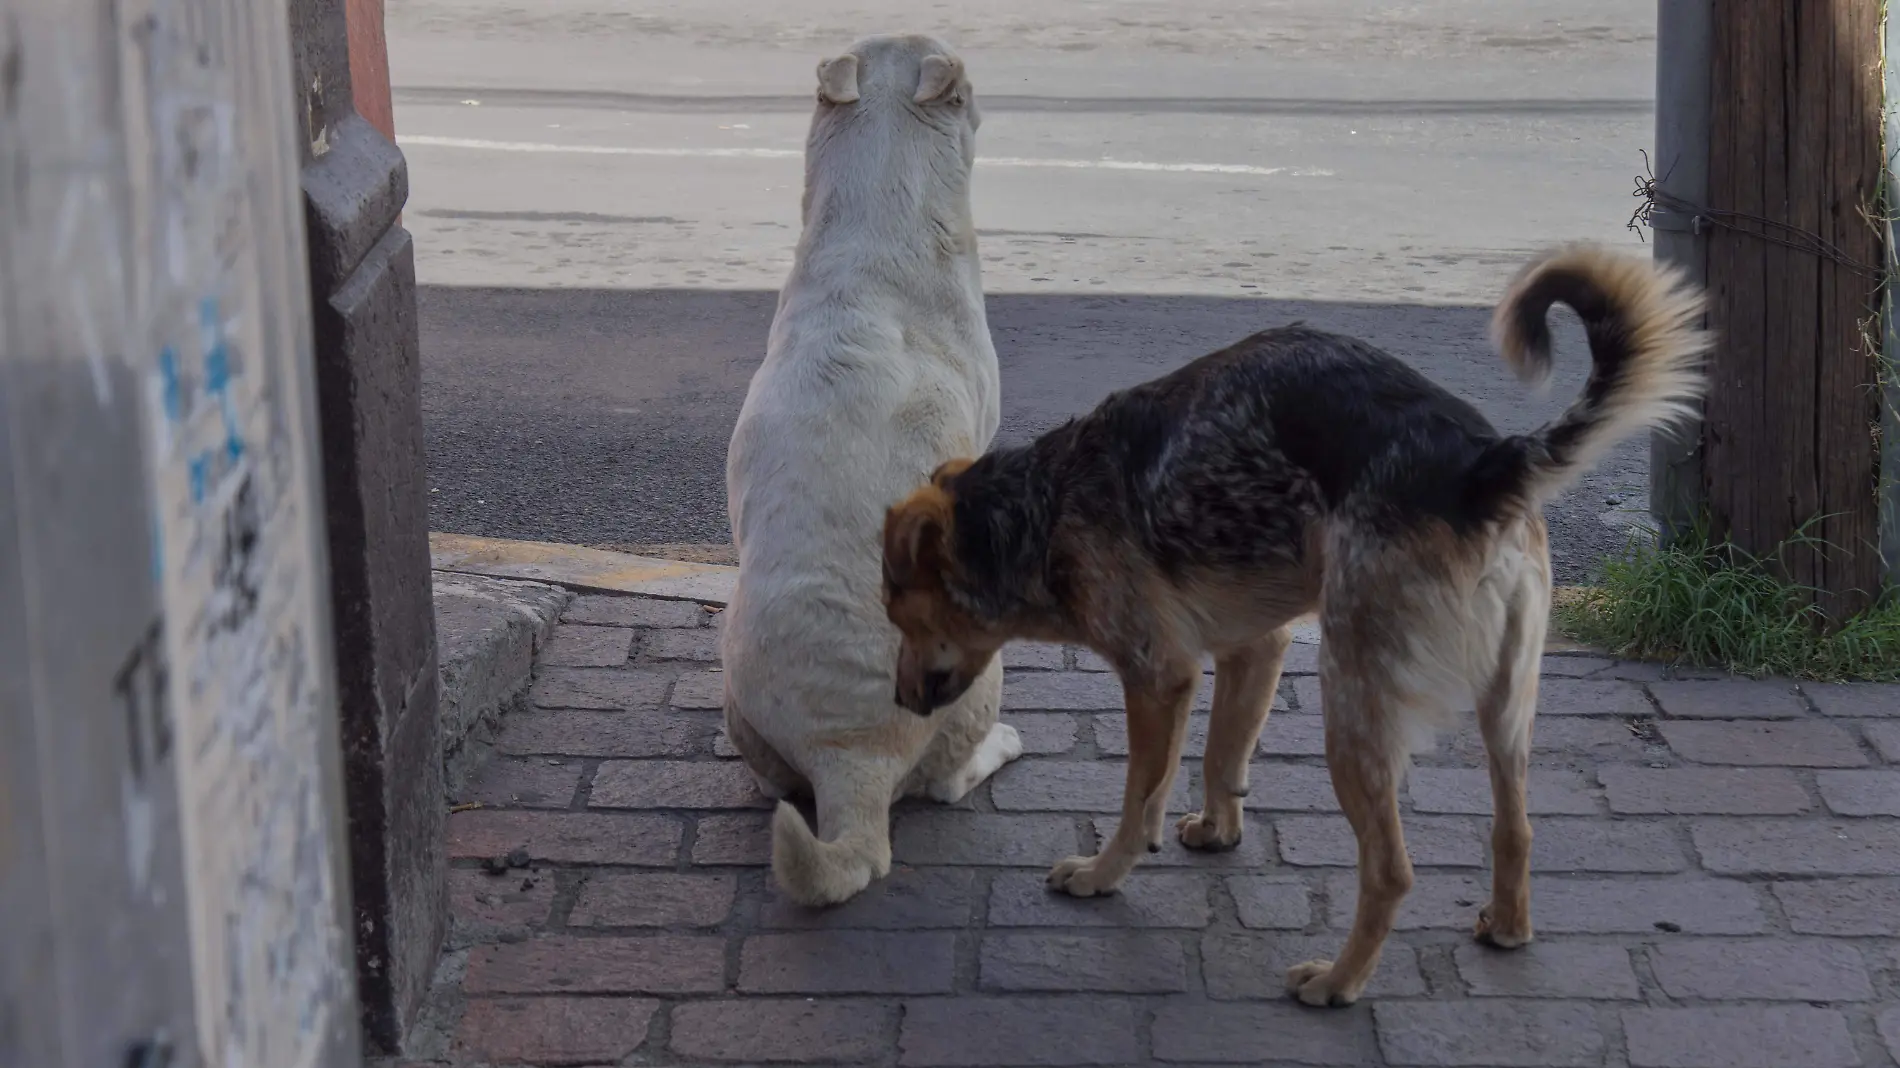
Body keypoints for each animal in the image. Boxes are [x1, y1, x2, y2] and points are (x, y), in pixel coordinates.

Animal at [874, 245, 1710, 1003]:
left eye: (897, 614)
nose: (899, 701)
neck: (1040, 511)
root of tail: (1481, 462)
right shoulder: (1254, 648)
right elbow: (1221, 755)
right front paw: (1219, 829)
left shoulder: (1157, 676)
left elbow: (1140, 796)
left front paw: (1103, 872)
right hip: (1506, 705)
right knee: (1516, 827)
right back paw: (1506, 926)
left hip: (1351, 704)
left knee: (1391, 871)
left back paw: (1339, 981)